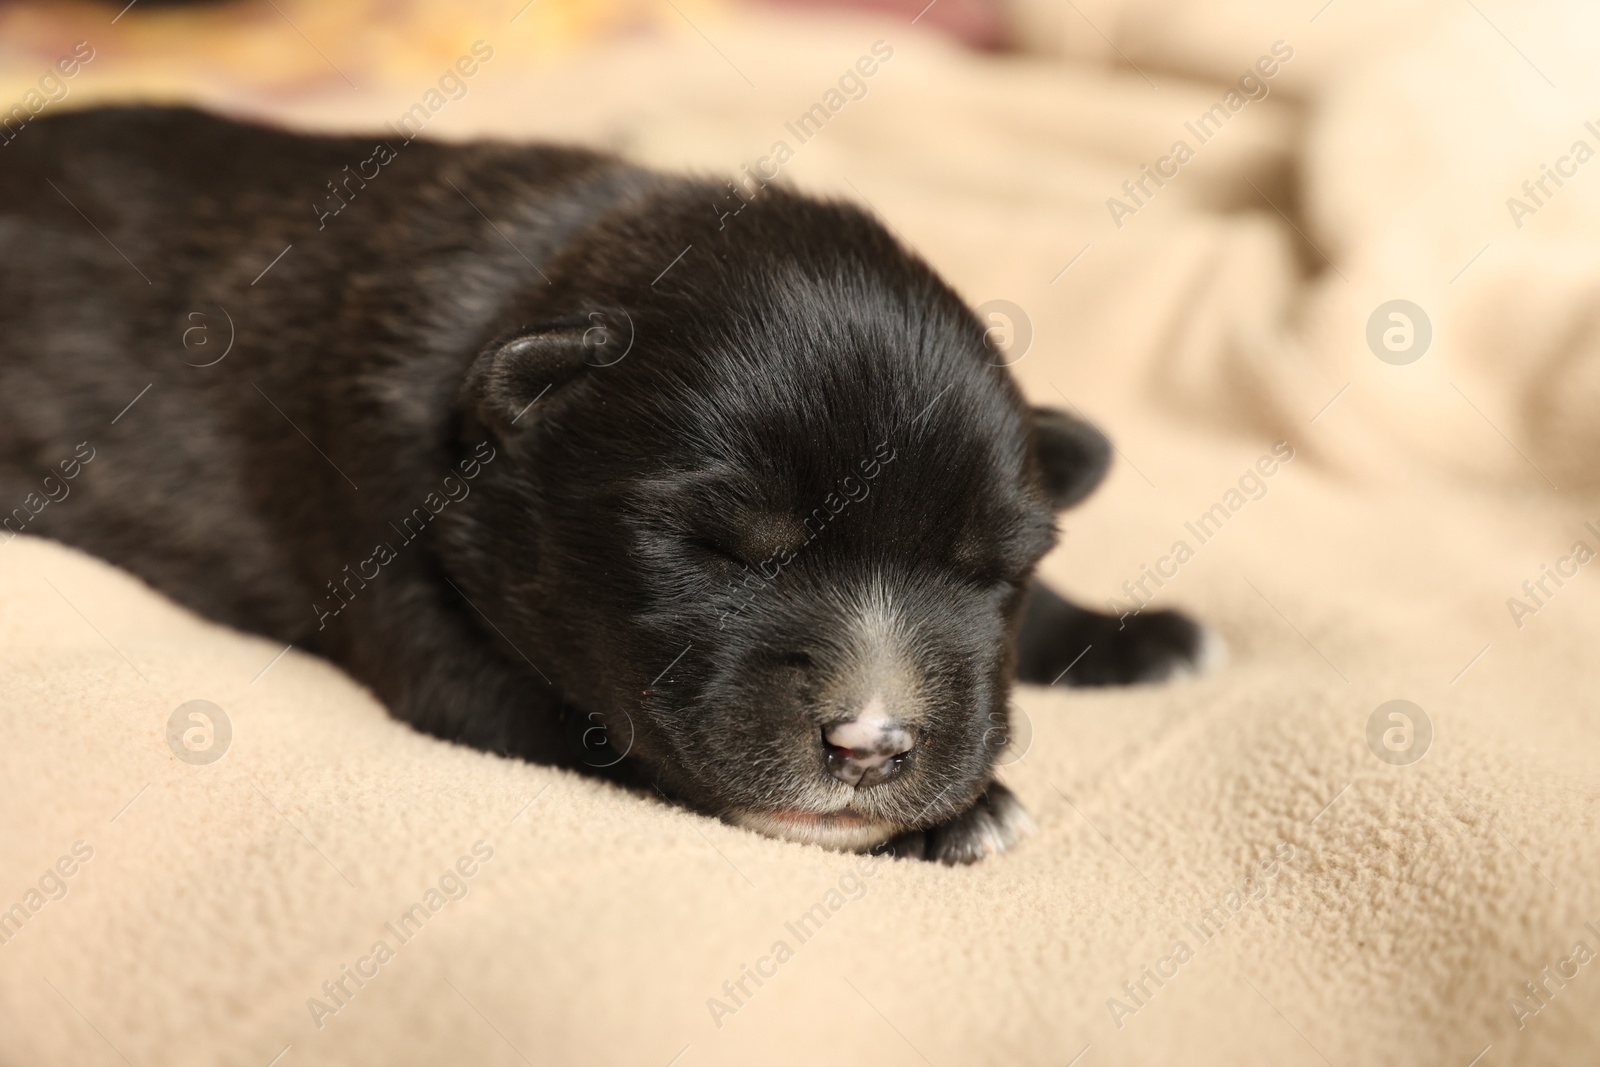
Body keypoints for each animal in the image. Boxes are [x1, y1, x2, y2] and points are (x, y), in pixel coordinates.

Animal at [0, 108, 1209, 863]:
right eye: (715, 546)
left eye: (994, 571)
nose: (873, 744)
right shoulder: (429, 618)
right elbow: (611, 736)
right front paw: (960, 817)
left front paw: (1132, 631)